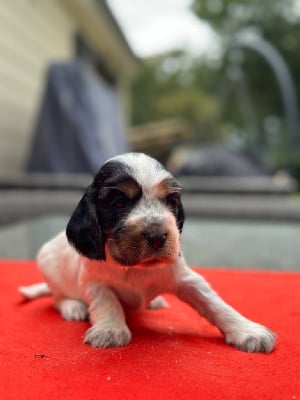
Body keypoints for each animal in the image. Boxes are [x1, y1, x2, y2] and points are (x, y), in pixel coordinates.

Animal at [19, 153, 276, 354]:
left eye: (170, 199)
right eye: (119, 203)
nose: (157, 236)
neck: (135, 268)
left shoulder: (186, 278)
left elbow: (214, 303)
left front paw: (248, 331)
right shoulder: (94, 282)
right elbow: (107, 301)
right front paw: (110, 330)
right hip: (48, 264)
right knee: (57, 297)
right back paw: (74, 307)